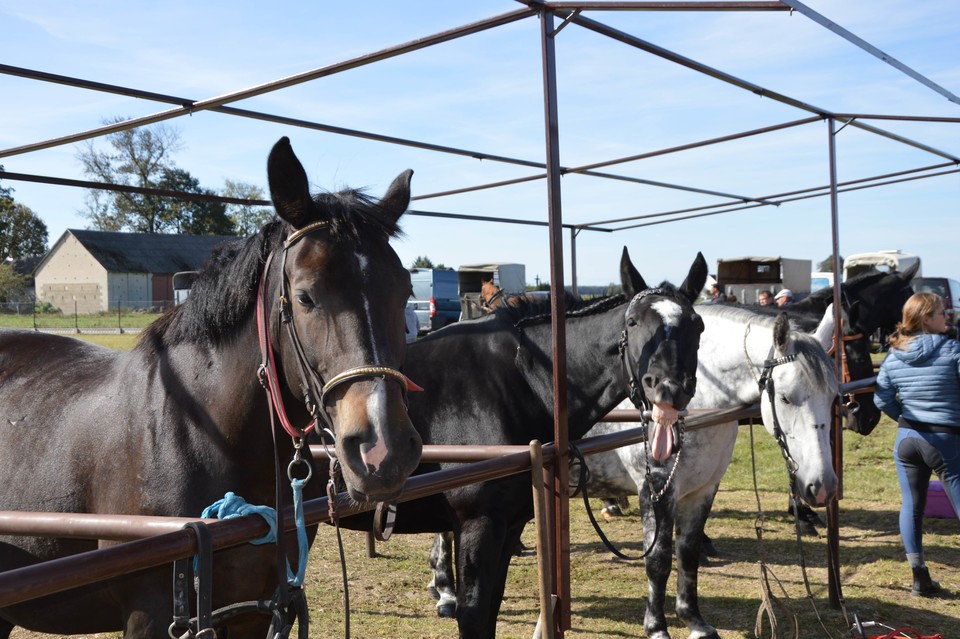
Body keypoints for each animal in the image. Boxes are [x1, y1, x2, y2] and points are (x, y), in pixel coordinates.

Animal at [0, 138, 424, 639]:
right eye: (305, 296)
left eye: (404, 292)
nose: (383, 450)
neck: (204, 434)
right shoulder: (151, 616)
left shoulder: (258, 612)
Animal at [336, 248, 704, 636]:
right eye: (633, 322)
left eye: (698, 325)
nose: (670, 389)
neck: (519, 380)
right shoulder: (478, 523)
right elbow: (474, 615)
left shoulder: (507, 525)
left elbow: (491, 610)